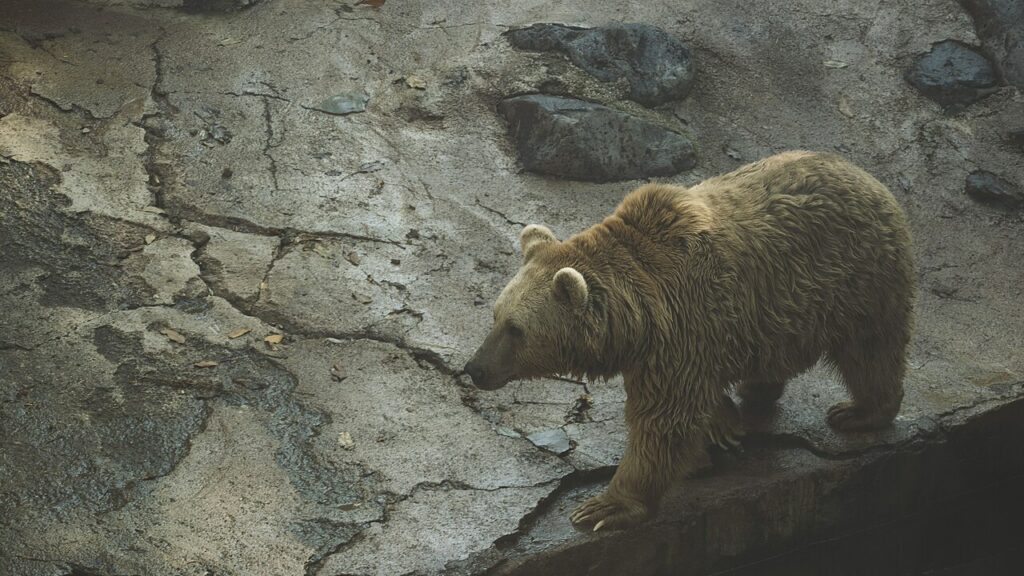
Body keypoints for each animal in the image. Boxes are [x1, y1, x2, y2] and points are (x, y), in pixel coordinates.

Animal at [463, 151, 915, 530]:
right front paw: (721, 425)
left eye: (516, 329)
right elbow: (693, 402)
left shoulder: (682, 328)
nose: (475, 369)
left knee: (870, 350)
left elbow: (664, 421)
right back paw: (756, 392)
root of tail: (864, 174)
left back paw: (857, 412)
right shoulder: (682, 341)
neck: (636, 317)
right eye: (496, 315)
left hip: (855, 279)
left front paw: (604, 507)